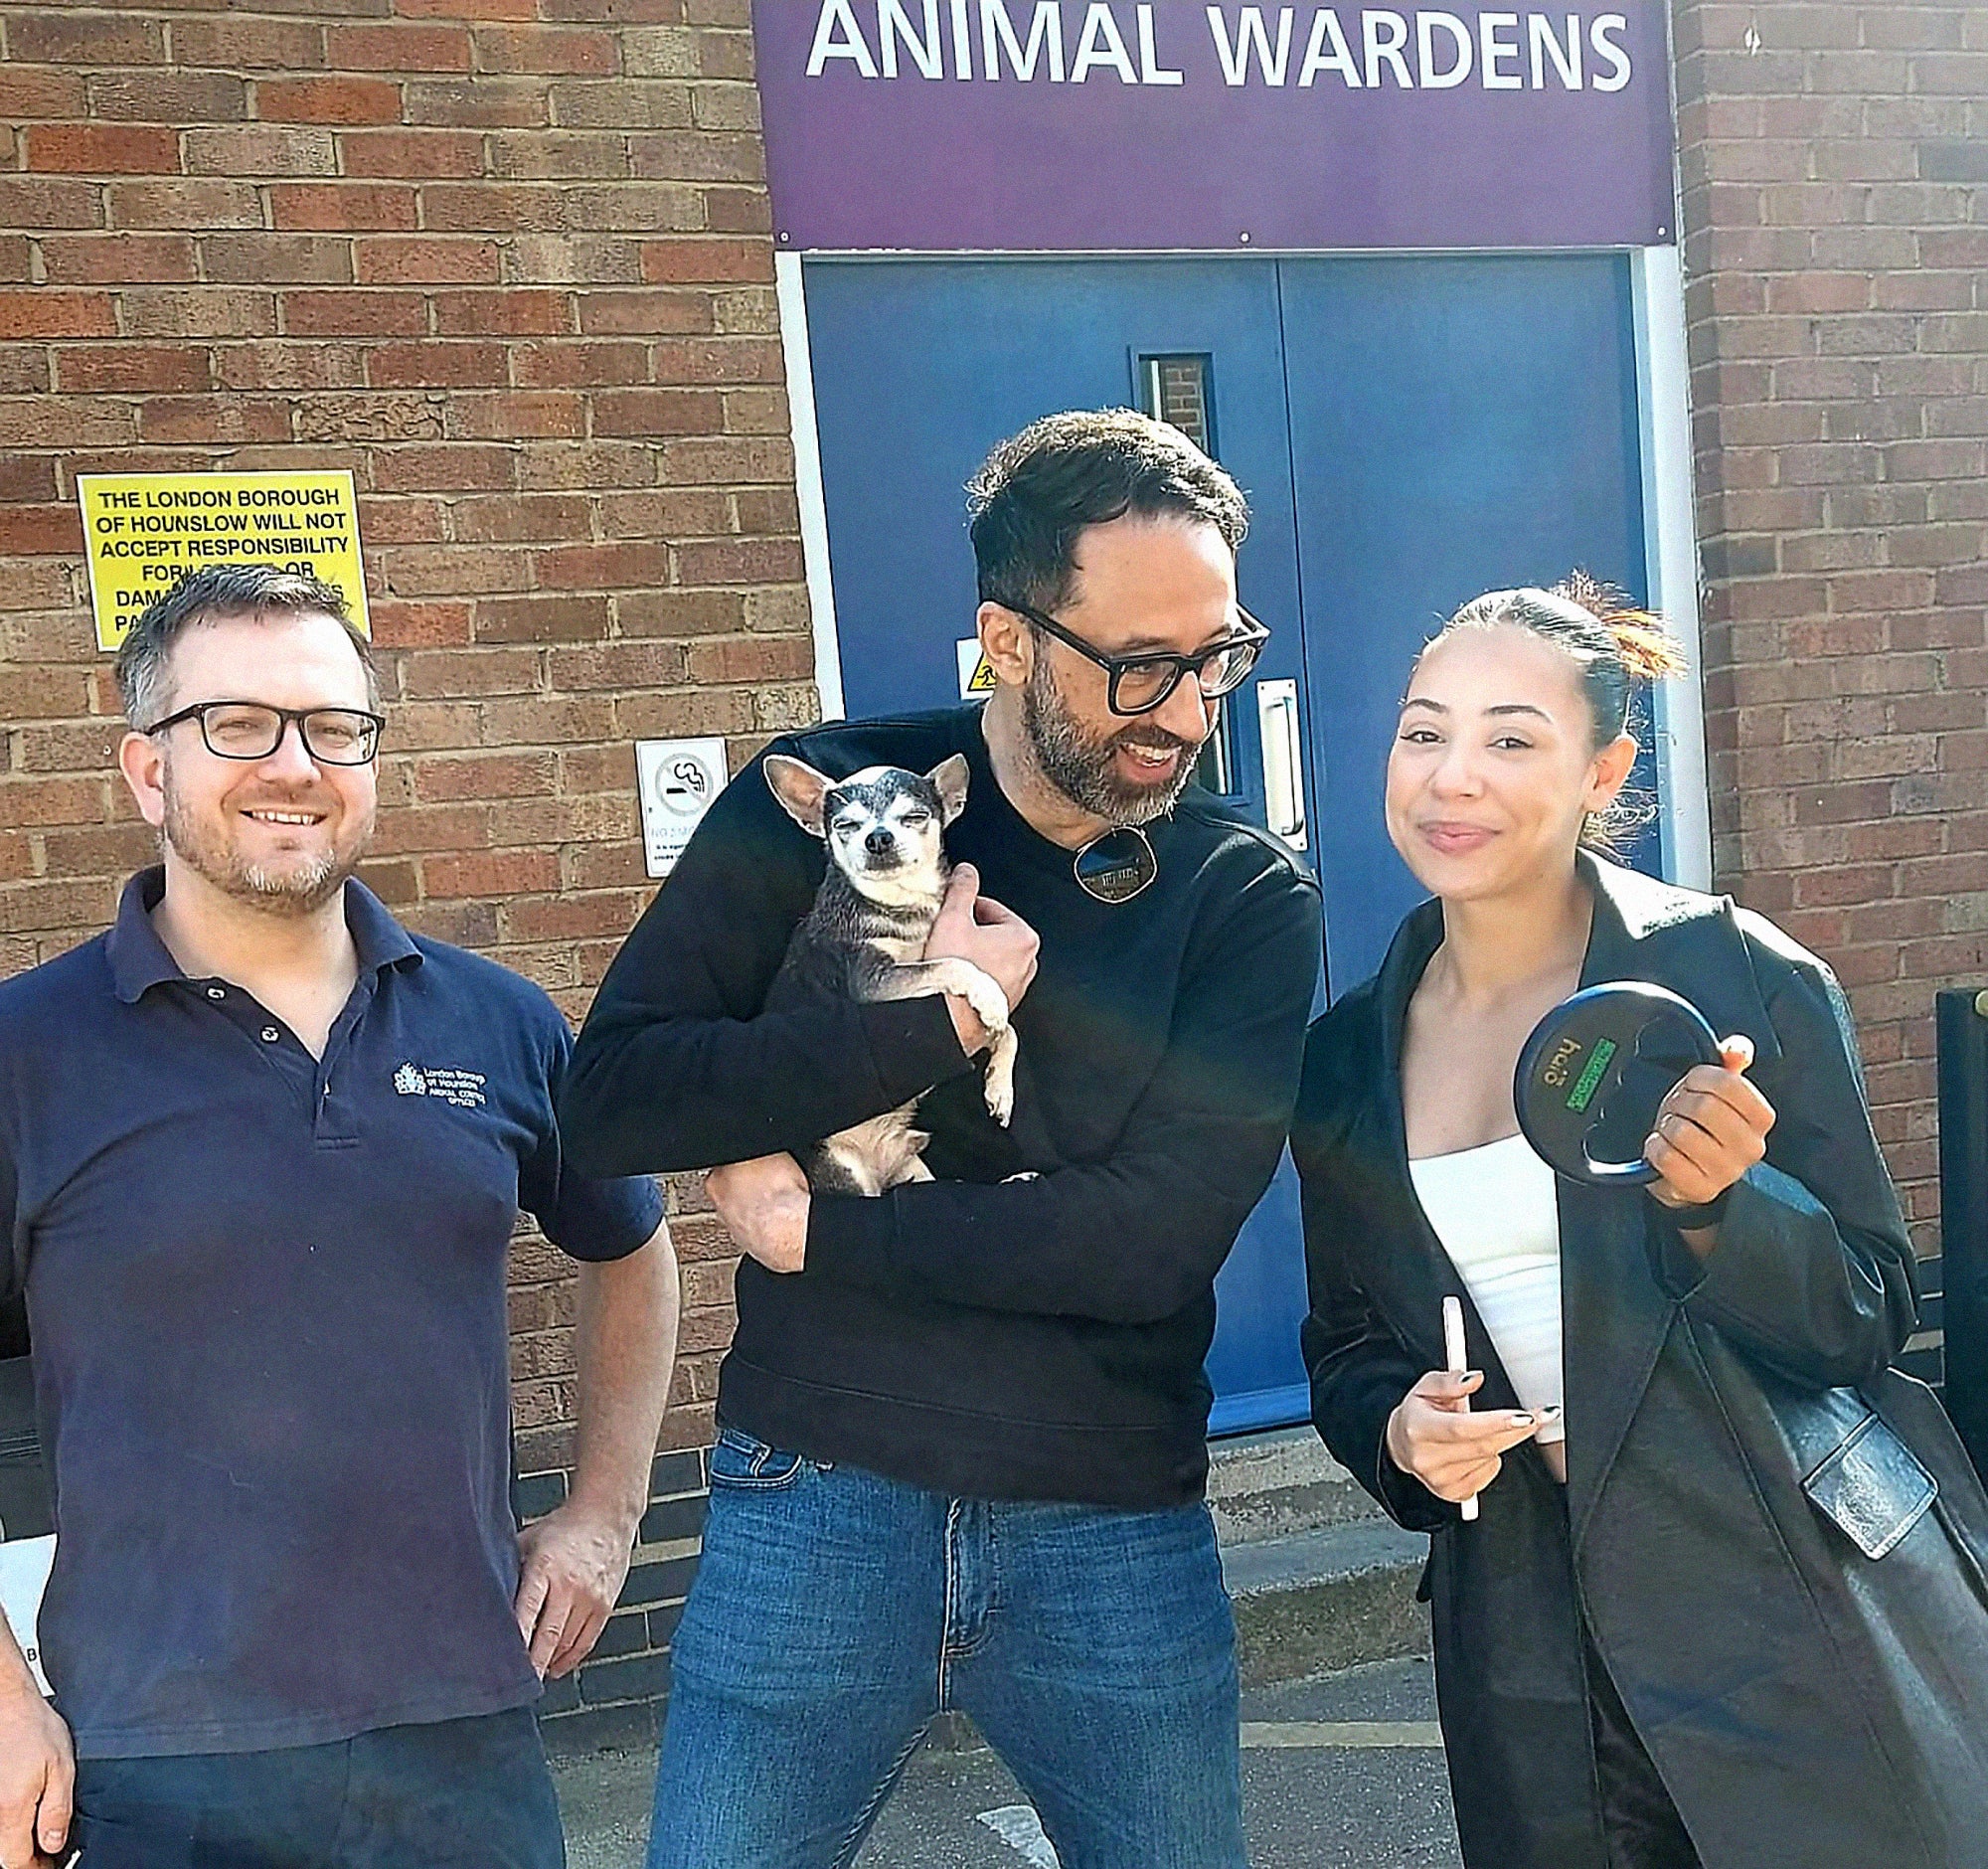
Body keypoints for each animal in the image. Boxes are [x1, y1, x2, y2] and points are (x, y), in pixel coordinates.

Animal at [755, 752, 1010, 1193]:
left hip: (913, 1172)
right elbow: (953, 963)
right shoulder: (875, 982)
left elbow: (1008, 1031)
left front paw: (1000, 1088)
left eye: (914, 816)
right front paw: (991, 994)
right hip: (847, 1173)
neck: (902, 903)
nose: (877, 838)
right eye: (846, 825)